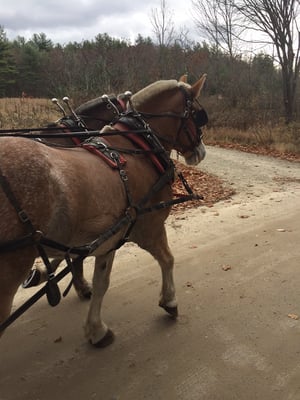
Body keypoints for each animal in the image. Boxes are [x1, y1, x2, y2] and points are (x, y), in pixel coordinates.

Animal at [0, 76, 206, 346]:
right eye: (197, 115)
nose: (201, 152)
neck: (138, 147)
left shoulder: (104, 237)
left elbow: (97, 277)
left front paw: (94, 326)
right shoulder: (147, 226)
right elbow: (167, 259)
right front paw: (169, 300)